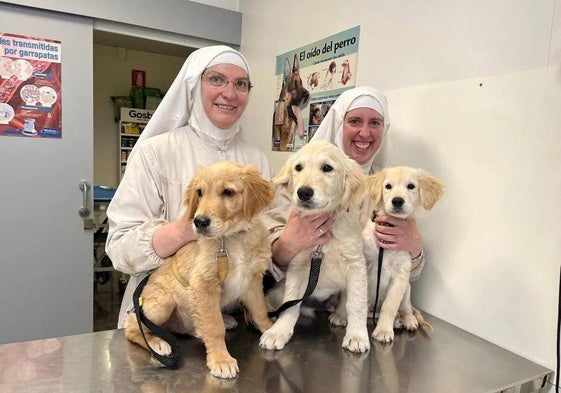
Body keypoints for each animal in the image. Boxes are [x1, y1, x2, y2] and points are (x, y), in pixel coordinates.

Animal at [126, 161, 276, 378]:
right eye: (200, 192)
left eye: (228, 192)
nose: (199, 222)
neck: (231, 238)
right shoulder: (204, 284)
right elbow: (214, 327)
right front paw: (221, 360)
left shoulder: (253, 279)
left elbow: (259, 309)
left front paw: (271, 330)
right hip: (163, 302)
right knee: (133, 327)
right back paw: (158, 343)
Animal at [260, 140, 372, 352]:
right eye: (298, 168)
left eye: (327, 168)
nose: (303, 192)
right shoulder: (298, 265)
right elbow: (290, 303)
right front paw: (279, 332)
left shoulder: (356, 265)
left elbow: (357, 303)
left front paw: (357, 335)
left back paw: (339, 315)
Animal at [364, 167, 442, 342]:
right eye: (388, 186)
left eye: (411, 186)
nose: (397, 201)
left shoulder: (401, 275)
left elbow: (390, 305)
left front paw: (383, 330)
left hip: (407, 289)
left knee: (405, 309)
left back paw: (406, 320)